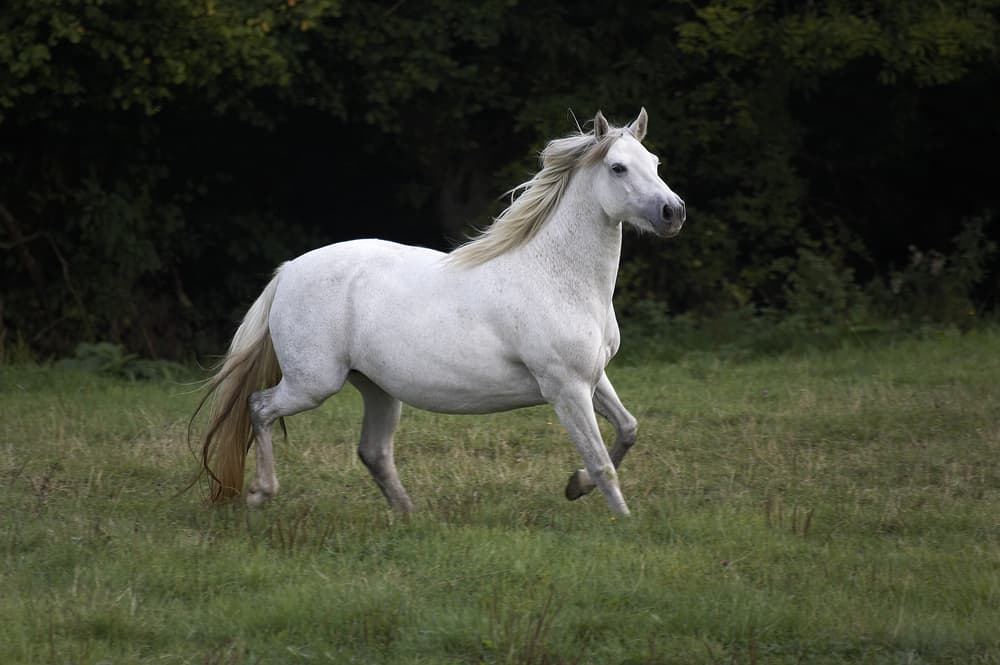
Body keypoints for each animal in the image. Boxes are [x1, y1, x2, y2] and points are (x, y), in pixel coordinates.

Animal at [192, 109, 684, 516]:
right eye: (618, 167)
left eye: (655, 161)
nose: (672, 212)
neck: (555, 276)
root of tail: (290, 270)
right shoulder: (566, 387)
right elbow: (601, 461)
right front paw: (623, 521)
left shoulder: (592, 378)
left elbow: (628, 429)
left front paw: (574, 487)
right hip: (313, 384)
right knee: (259, 408)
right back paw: (261, 493)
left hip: (376, 388)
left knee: (373, 451)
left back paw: (410, 517)